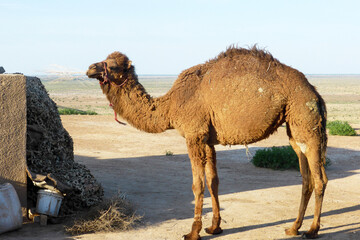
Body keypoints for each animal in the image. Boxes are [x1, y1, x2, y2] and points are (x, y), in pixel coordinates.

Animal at [86, 46, 328, 239]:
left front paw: (193, 232)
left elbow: (197, 184)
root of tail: (314, 92)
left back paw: (312, 230)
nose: (90, 68)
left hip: (305, 118)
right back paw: (293, 228)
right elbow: (213, 181)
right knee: (306, 177)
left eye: (113, 65)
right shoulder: (208, 140)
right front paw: (214, 227)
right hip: (294, 127)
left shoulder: (194, 135)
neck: (170, 106)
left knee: (319, 179)